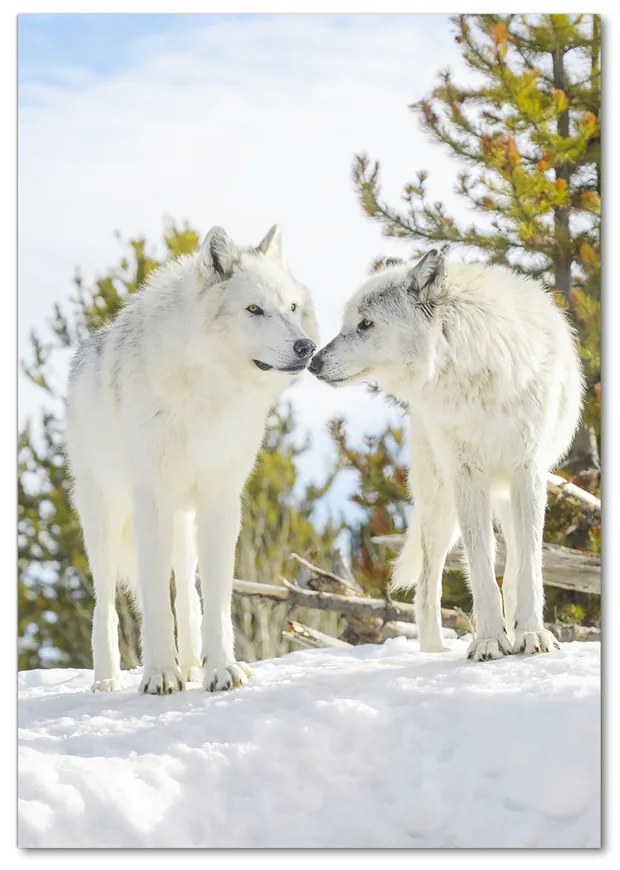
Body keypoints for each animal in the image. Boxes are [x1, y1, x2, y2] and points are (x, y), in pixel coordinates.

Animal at [66, 225, 320, 696]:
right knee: (105, 603)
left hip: (184, 521)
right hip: (105, 519)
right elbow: (152, 600)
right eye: (254, 309)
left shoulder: (221, 500)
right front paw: (159, 675)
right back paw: (108, 680)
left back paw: (191, 667)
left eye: (292, 307)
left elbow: (215, 601)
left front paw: (222, 670)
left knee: (186, 594)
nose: (306, 347)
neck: (210, 392)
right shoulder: (151, 501)